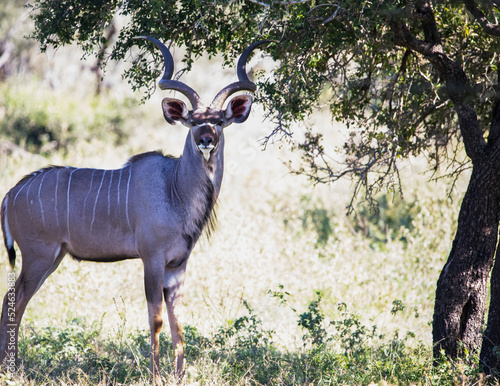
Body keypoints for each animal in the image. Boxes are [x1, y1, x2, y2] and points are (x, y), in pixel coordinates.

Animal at [0, 36, 272, 380]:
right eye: (192, 122)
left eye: (220, 121)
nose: (206, 140)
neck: (174, 188)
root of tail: (11, 194)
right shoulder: (152, 259)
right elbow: (156, 319)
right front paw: (155, 375)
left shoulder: (177, 266)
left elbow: (178, 322)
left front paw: (179, 376)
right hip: (39, 256)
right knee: (15, 299)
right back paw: (11, 368)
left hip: (53, 257)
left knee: (12, 300)